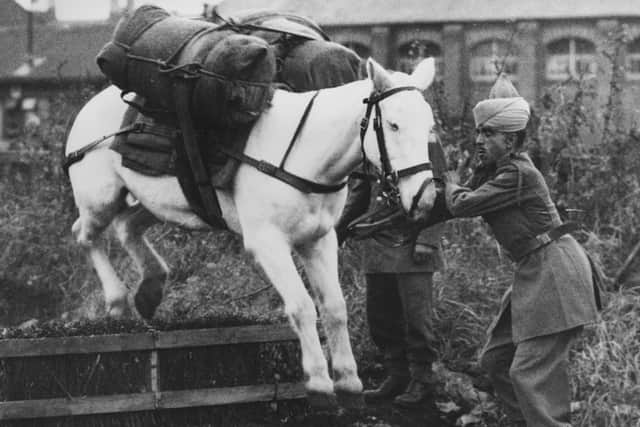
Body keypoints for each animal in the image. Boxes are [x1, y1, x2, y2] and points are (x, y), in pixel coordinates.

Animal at [66, 57, 440, 408]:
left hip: (156, 201)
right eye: (393, 124)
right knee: (85, 235)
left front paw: (349, 383)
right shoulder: (268, 243)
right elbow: (302, 306)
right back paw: (118, 299)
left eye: (429, 127)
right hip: (100, 198)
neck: (305, 155)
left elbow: (334, 307)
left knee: (126, 225)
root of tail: (89, 108)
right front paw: (319, 383)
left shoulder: (319, 240)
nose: (425, 197)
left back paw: (150, 287)